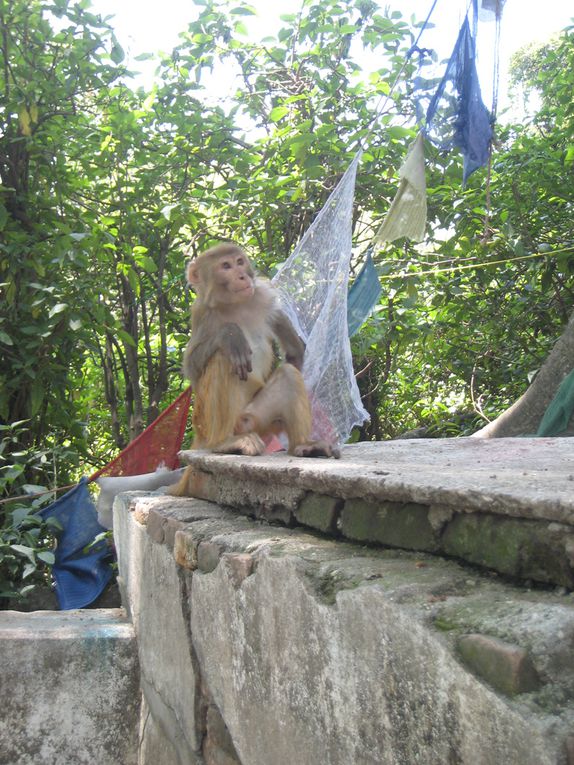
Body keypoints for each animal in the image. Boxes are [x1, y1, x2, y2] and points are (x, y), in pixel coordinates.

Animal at [171, 242, 342, 496]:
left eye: (240, 262)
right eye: (225, 266)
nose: (242, 276)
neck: (235, 305)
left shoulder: (265, 296)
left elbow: (294, 353)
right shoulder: (201, 313)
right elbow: (192, 367)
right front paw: (231, 334)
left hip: (257, 420)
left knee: (288, 375)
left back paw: (303, 446)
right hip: (209, 422)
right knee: (223, 358)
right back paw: (224, 442)